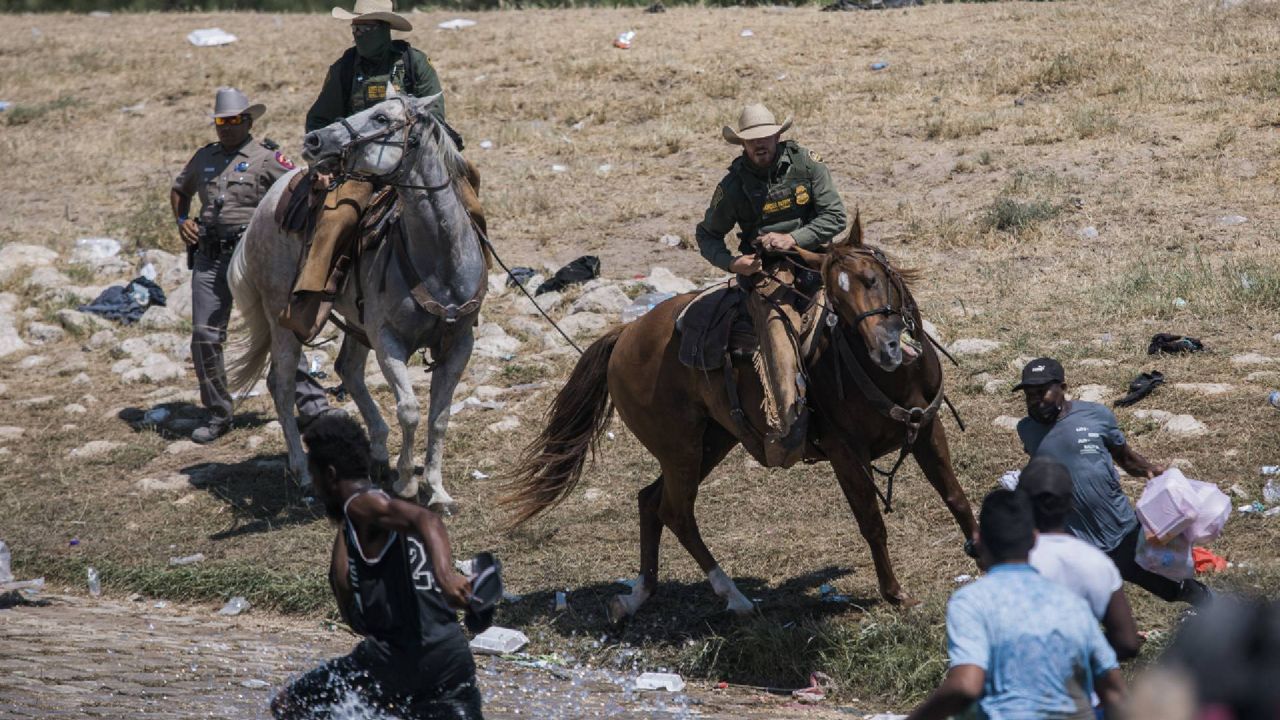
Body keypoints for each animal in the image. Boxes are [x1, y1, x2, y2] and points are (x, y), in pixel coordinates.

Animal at [225, 94, 483, 509]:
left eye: (380, 117)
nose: (314, 141)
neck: (439, 259)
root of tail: (265, 205)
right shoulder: (388, 340)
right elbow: (410, 410)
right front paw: (407, 483)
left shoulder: (460, 342)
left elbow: (439, 417)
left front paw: (437, 489)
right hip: (284, 319)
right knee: (281, 384)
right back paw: (303, 474)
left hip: (357, 323)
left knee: (347, 368)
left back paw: (376, 452)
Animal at [504, 215, 972, 620]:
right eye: (835, 300)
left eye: (872, 280)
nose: (886, 349)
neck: (889, 377)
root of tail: (624, 336)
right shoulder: (845, 454)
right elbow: (872, 522)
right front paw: (895, 594)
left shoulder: (928, 429)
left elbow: (956, 497)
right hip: (681, 449)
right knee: (676, 511)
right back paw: (733, 596)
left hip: (711, 442)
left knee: (650, 501)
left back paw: (637, 596)